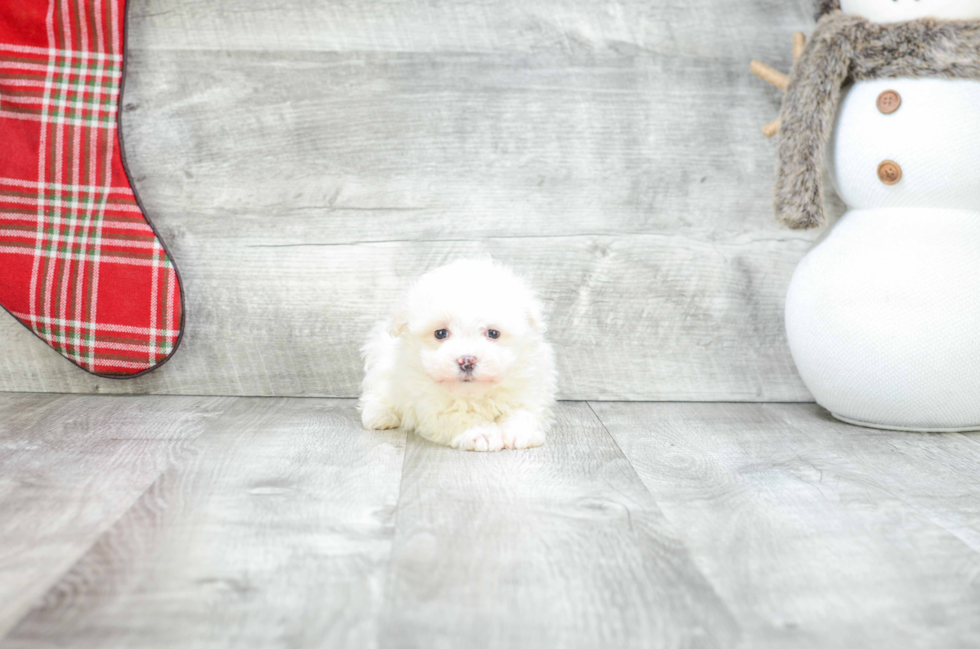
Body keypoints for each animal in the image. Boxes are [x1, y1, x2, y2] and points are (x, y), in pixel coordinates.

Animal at [360, 258, 560, 450]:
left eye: (493, 333)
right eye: (441, 333)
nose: (467, 361)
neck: (474, 394)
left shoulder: (530, 386)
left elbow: (523, 410)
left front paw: (520, 432)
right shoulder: (431, 403)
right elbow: (458, 416)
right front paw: (480, 433)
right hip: (381, 363)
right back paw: (380, 415)